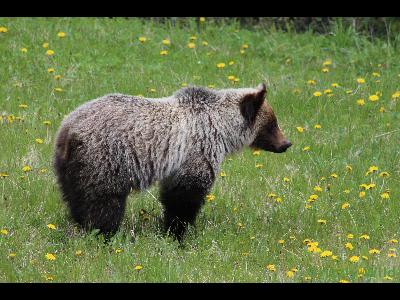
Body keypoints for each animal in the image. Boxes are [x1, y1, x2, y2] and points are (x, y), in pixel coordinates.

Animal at [54, 84, 290, 241]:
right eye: (272, 123)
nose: (286, 143)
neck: (221, 129)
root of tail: (68, 130)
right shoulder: (196, 151)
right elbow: (184, 197)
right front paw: (178, 232)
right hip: (106, 159)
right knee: (104, 202)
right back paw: (103, 234)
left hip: (70, 167)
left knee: (76, 197)